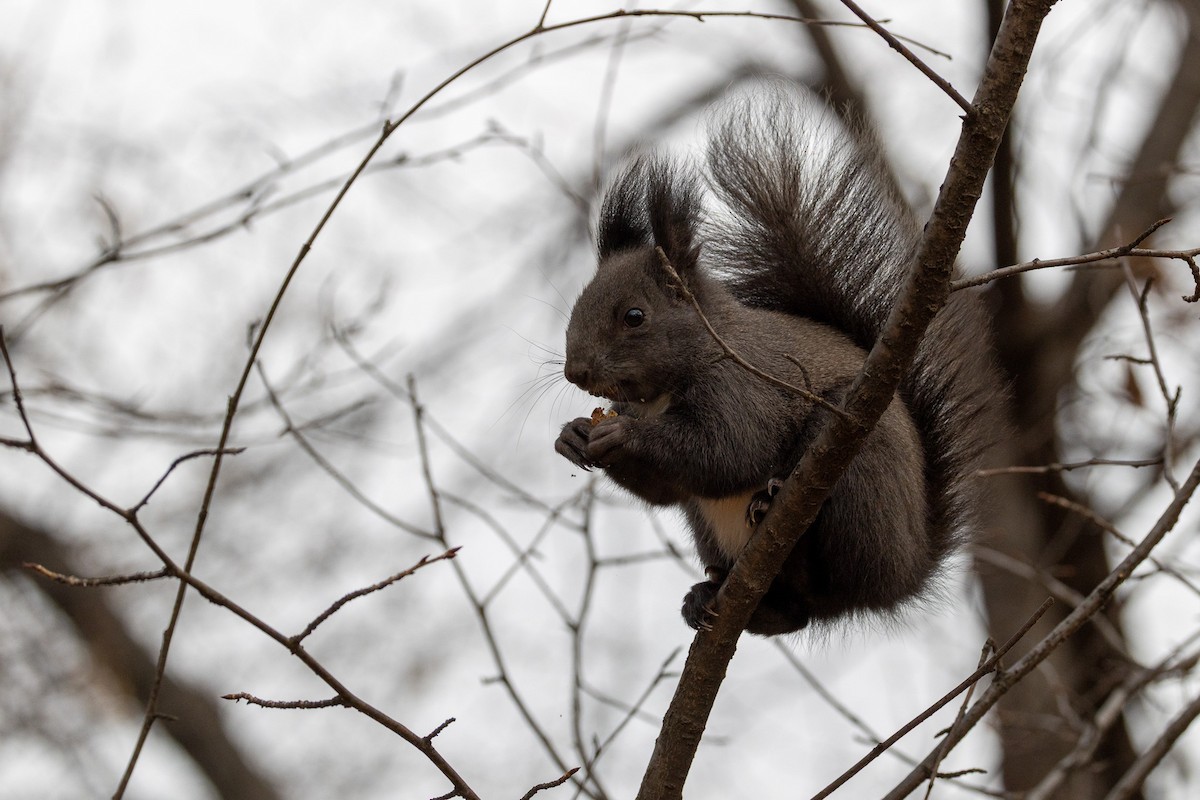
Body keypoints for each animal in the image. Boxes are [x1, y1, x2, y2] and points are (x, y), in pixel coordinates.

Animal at [554, 86, 1002, 636]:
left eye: (634, 316)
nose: (576, 372)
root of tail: (905, 573)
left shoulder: (744, 389)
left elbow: (725, 451)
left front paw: (622, 435)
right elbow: (666, 488)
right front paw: (573, 435)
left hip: (857, 470)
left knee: (825, 580)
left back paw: (778, 516)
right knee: (793, 614)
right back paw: (711, 598)